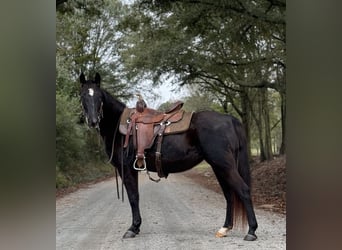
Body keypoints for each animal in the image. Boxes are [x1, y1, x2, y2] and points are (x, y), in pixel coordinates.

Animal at [79, 72, 258, 240]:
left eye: (99, 96)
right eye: (82, 96)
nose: (93, 121)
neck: (119, 125)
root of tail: (230, 120)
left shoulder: (128, 170)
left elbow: (133, 197)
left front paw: (133, 228)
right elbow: (135, 196)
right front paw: (136, 227)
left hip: (224, 165)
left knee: (243, 190)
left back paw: (251, 231)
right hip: (218, 166)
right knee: (229, 195)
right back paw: (225, 228)